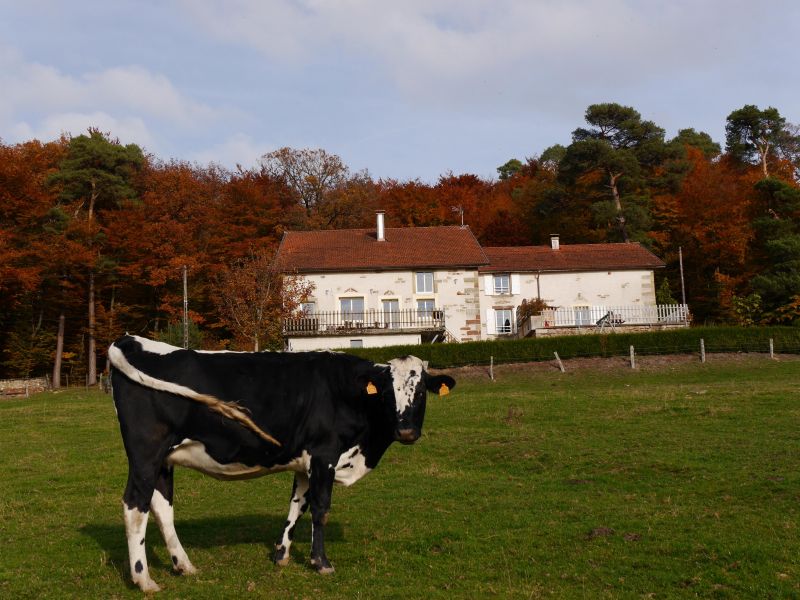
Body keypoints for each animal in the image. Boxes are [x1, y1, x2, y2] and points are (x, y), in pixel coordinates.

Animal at [107, 336, 456, 592]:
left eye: (421, 392)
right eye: (386, 393)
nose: (406, 431)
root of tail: (132, 340)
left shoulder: (304, 462)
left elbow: (296, 506)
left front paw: (281, 555)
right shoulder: (324, 454)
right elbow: (320, 508)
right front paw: (321, 562)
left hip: (164, 460)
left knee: (161, 507)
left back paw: (185, 565)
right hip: (146, 454)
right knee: (134, 505)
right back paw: (144, 579)